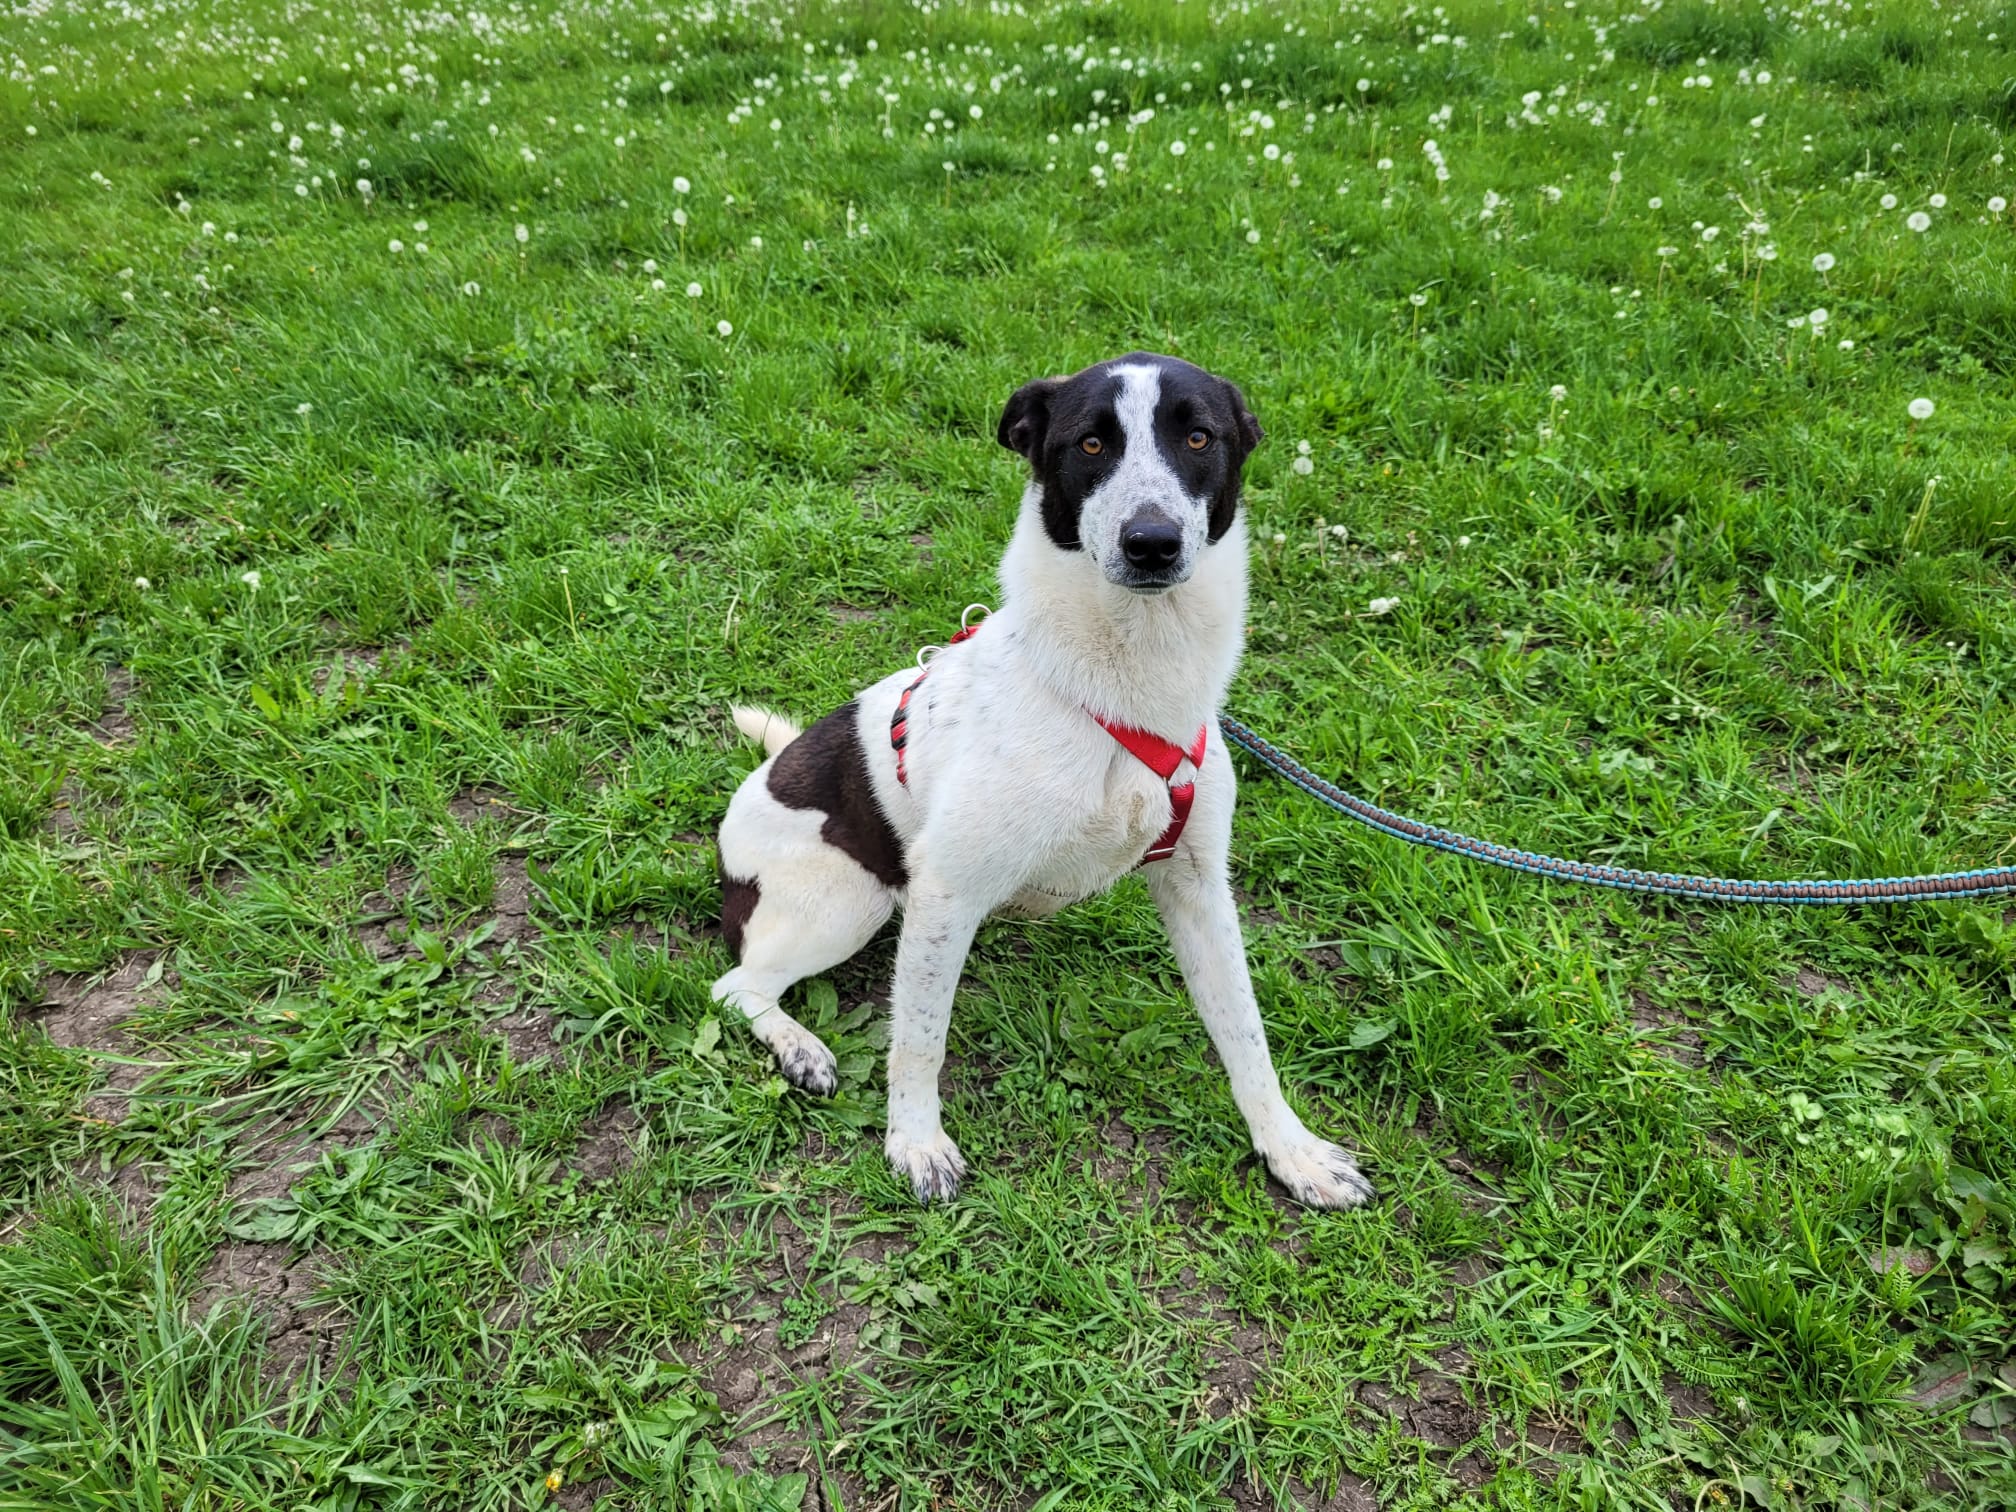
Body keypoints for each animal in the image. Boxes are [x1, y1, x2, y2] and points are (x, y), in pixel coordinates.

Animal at [712, 353, 1372, 1210]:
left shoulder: (1198, 883)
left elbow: (1245, 1032)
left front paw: (1290, 1150)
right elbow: (918, 1041)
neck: (1122, 692)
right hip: (850, 901)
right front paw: (915, 1143)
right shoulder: (946, 889)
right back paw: (799, 1047)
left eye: (1199, 436)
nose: (1152, 542)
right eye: (1090, 443)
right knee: (735, 985)